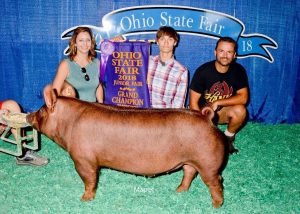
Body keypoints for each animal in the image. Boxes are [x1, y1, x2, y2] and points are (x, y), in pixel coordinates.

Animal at [27, 85, 227, 207]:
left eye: (42, 110)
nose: (28, 115)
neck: (69, 122)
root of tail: (207, 118)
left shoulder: (83, 159)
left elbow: (89, 180)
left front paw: (85, 200)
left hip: (207, 162)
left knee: (216, 182)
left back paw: (216, 205)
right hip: (190, 160)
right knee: (189, 172)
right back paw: (179, 190)